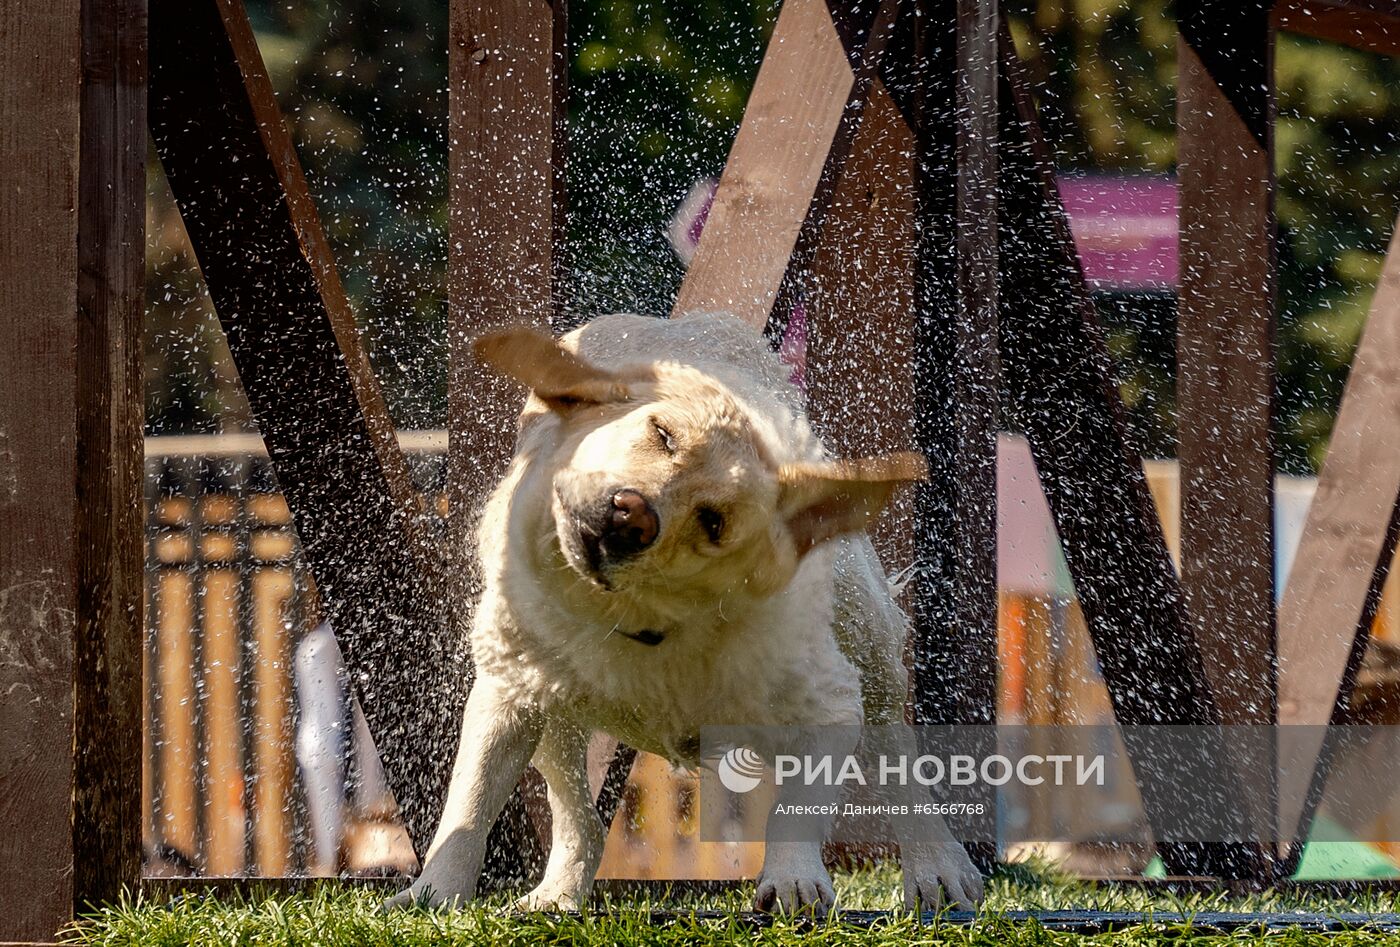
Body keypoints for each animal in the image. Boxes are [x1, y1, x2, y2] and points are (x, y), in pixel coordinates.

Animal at [389, 313, 985, 913]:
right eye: (662, 434)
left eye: (714, 522)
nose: (631, 515)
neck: (639, 628)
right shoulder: (507, 693)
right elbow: (472, 802)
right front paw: (433, 893)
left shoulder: (830, 704)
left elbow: (796, 806)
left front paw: (793, 882)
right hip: (552, 708)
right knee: (578, 812)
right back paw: (557, 893)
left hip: (870, 644)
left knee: (898, 757)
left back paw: (939, 870)